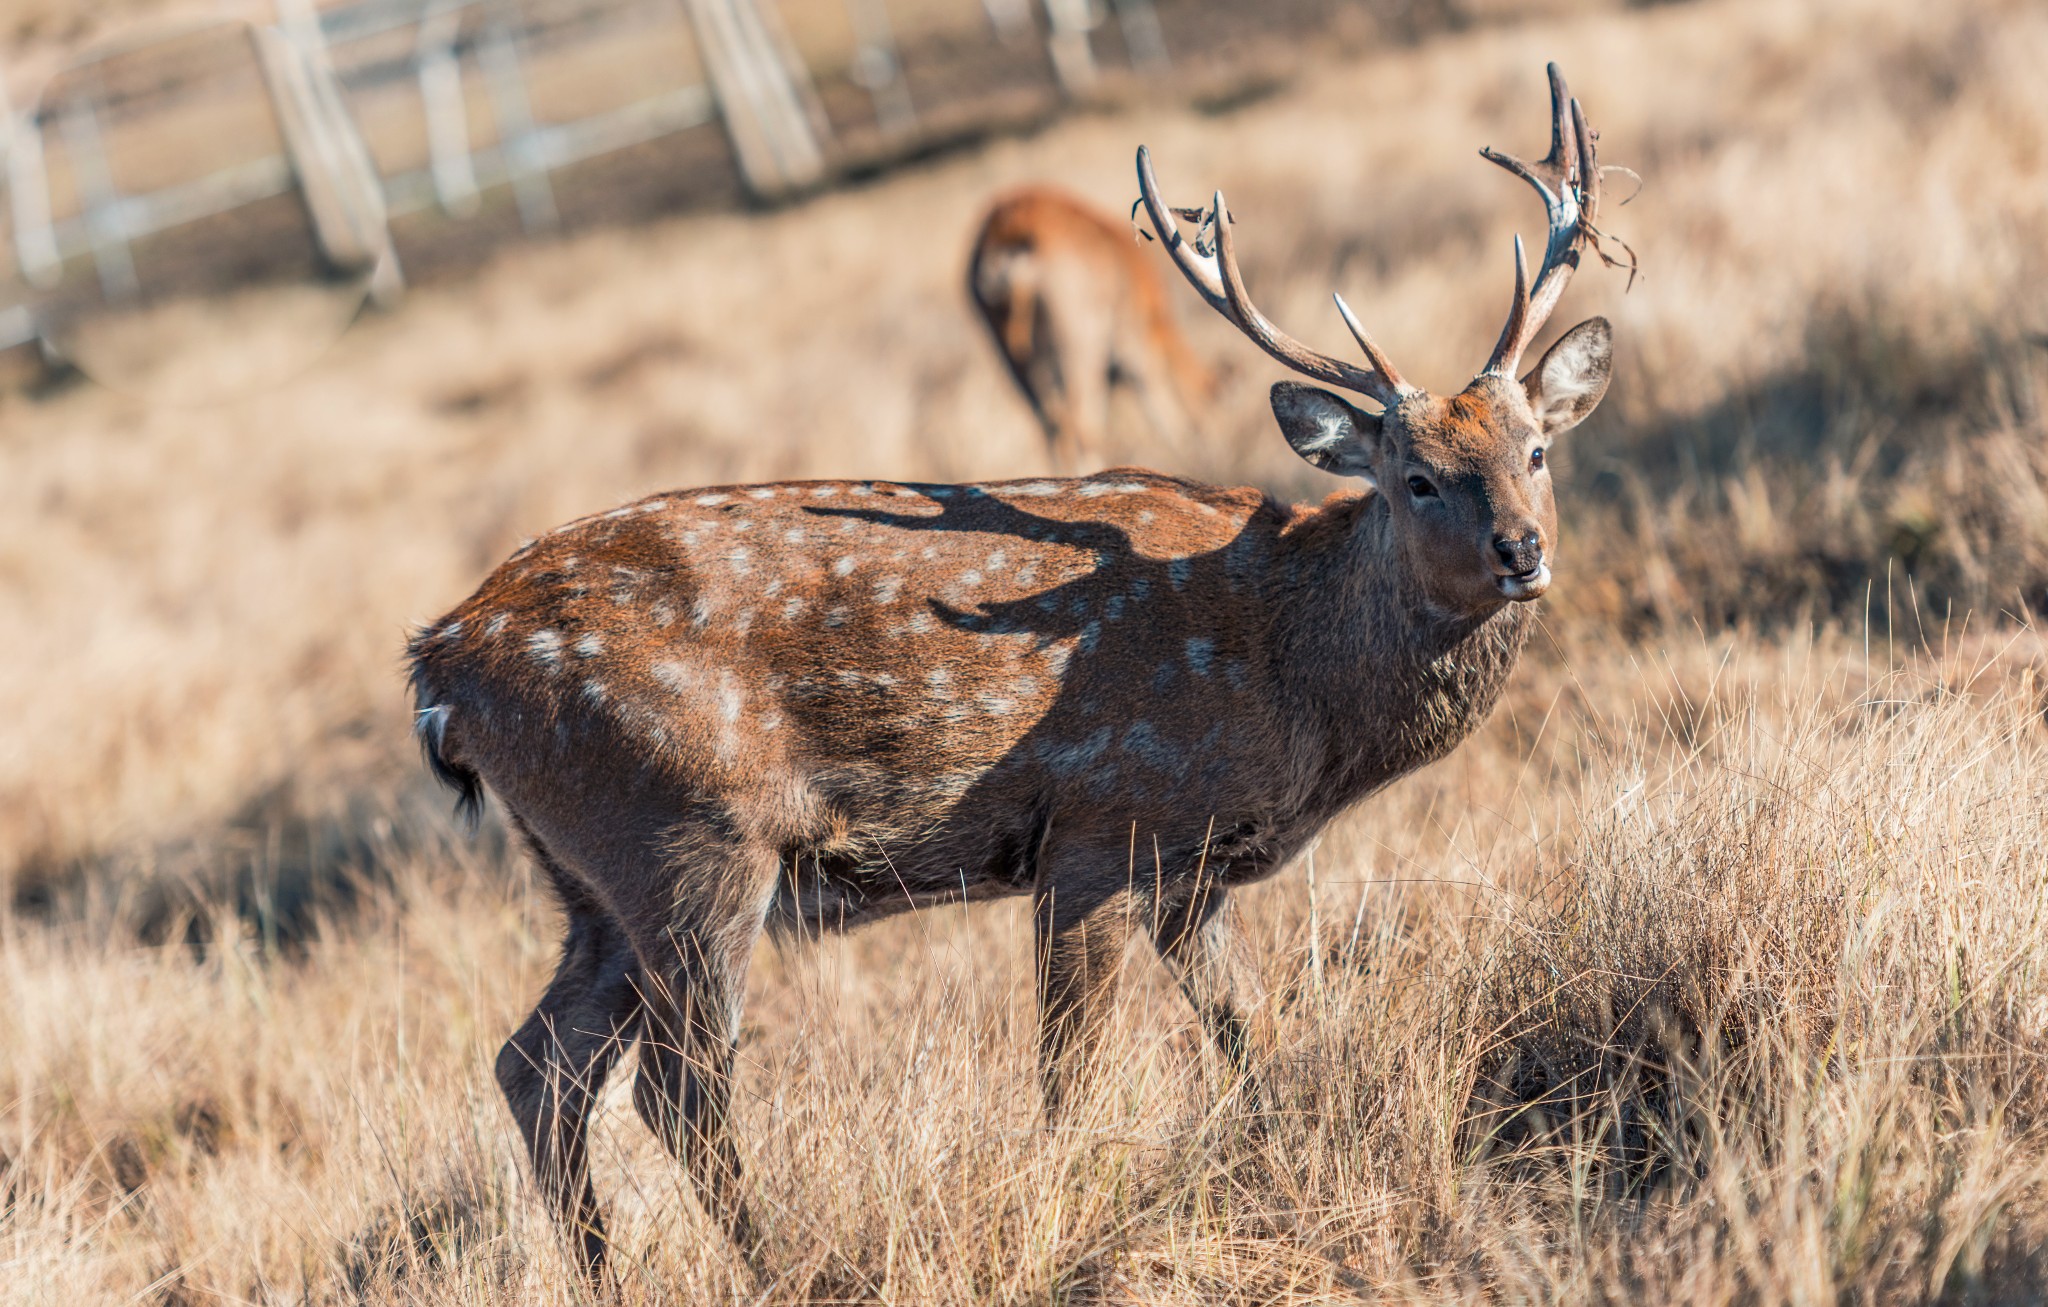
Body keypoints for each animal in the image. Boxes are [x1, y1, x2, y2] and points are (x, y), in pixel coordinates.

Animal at [962, 182, 1204, 473]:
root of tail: (1009, 231)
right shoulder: (1137, 356)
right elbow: (1169, 420)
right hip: (1078, 354)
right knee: (1081, 431)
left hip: (1017, 365)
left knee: (1052, 431)